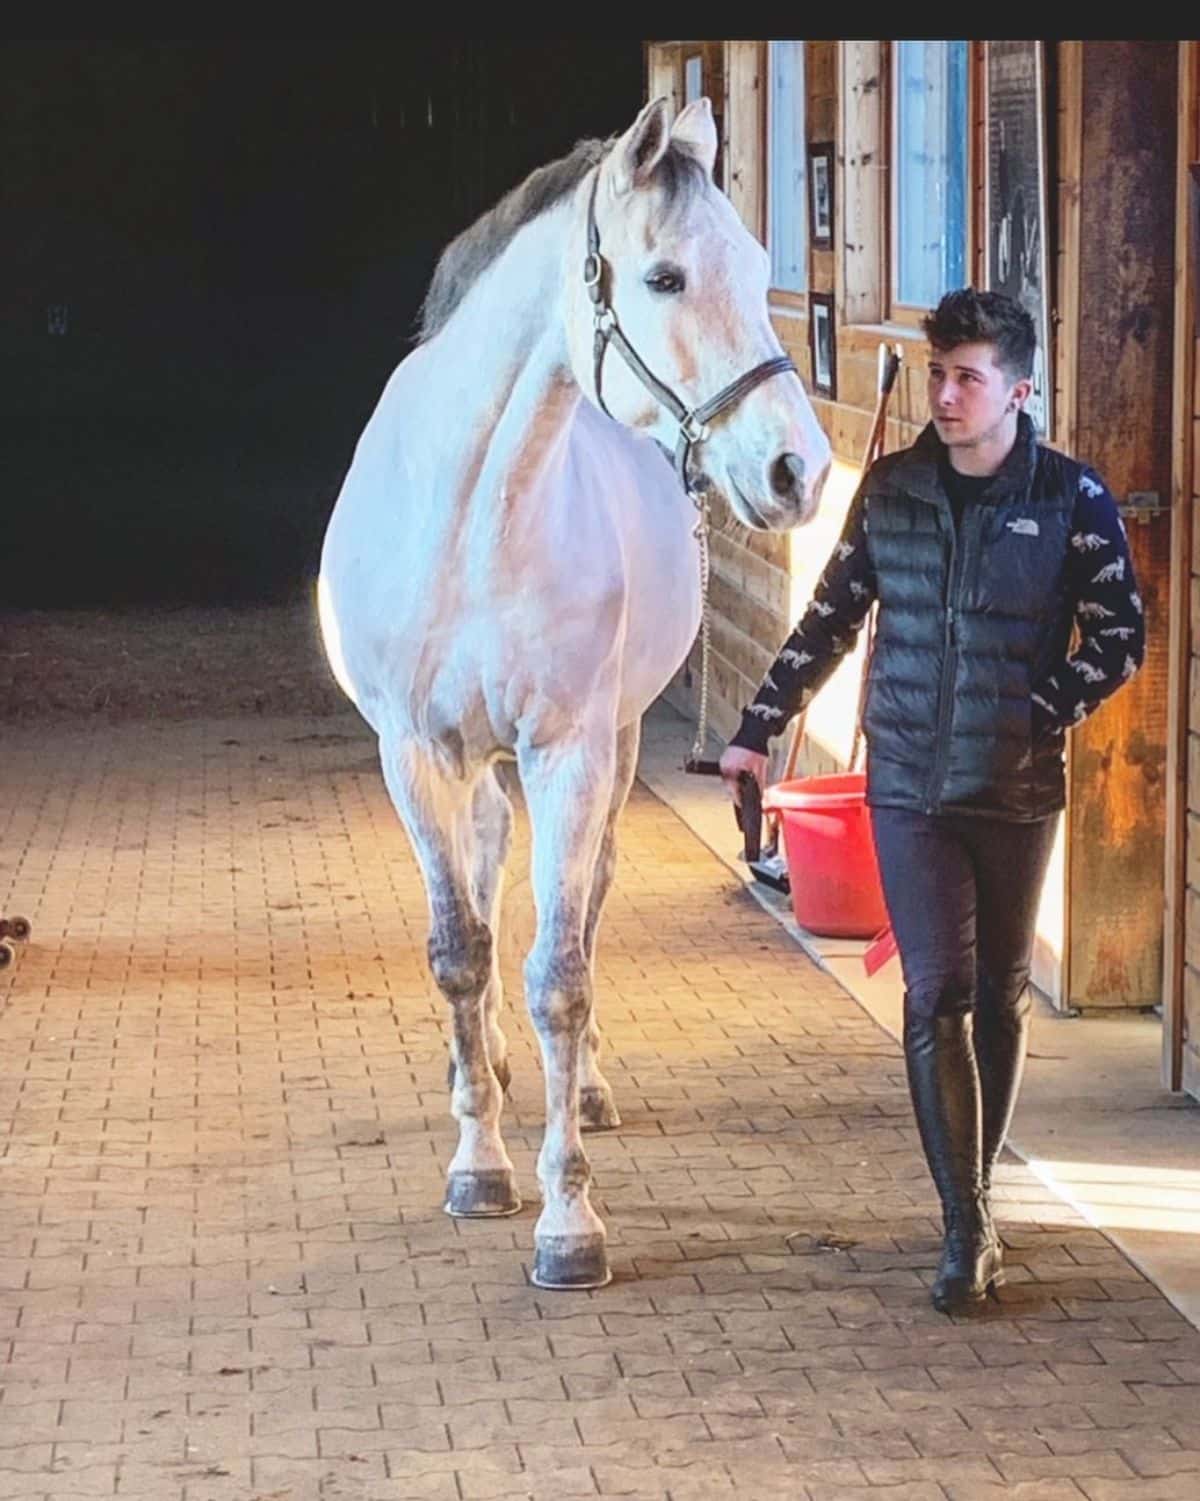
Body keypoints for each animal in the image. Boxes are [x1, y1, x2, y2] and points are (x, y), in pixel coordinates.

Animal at [318, 96, 829, 1290]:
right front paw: (478, 1164)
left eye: (757, 263)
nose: (800, 471)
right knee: (491, 872)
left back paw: (581, 1085)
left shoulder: (572, 751)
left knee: (584, 899)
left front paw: (568, 1218)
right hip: (481, 764)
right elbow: (461, 951)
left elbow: (562, 968)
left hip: (616, 742)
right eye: (665, 277)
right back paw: (491, 1077)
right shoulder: (416, 756)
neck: (471, 517)